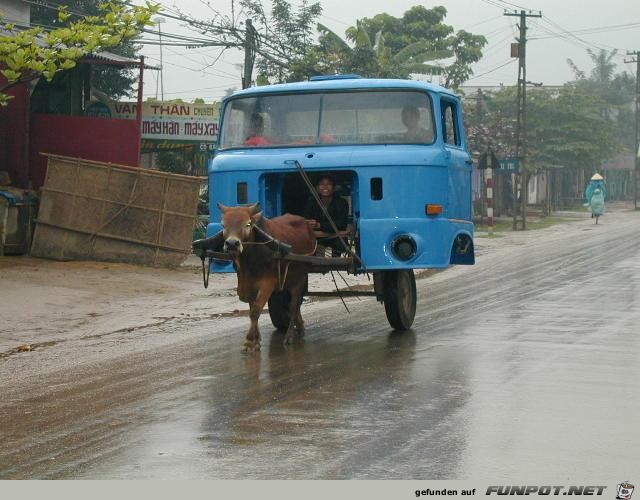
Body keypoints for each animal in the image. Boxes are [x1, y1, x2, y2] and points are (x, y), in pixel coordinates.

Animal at [219, 200, 316, 352]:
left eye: (248, 224)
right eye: (223, 225)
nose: (232, 244)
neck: (250, 259)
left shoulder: (267, 284)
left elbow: (255, 310)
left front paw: (249, 341)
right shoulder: (248, 285)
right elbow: (252, 309)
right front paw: (256, 340)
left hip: (299, 278)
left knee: (294, 305)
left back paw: (289, 336)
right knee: (295, 305)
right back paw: (300, 327)